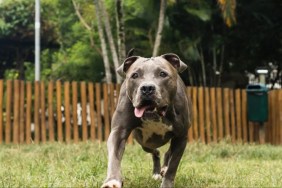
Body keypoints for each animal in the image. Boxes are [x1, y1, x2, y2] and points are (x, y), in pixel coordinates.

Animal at [102, 53, 193, 188]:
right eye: (135, 75)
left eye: (162, 74)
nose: (147, 88)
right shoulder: (118, 131)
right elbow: (114, 157)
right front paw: (112, 181)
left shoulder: (181, 137)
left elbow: (173, 165)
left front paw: (167, 183)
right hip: (144, 142)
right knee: (155, 151)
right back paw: (157, 172)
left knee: (168, 153)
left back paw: (163, 169)